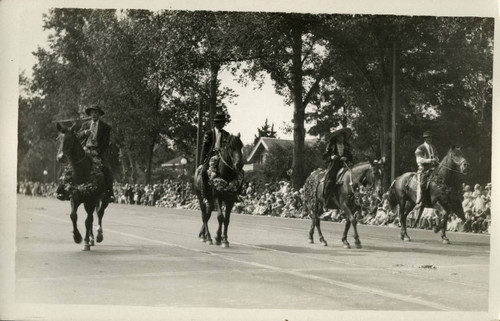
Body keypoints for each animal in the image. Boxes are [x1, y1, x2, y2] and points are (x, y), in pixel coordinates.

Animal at [56, 122, 110, 250]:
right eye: (58, 139)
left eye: (69, 140)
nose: (60, 157)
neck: (81, 170)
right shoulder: (74, 196)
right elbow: (73, 216)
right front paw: (77, 237)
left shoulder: (91, 199)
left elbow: (88, 220)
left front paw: (85, 242)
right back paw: (91, 238)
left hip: (103, 198)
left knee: (99, 213)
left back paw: (98, 235)